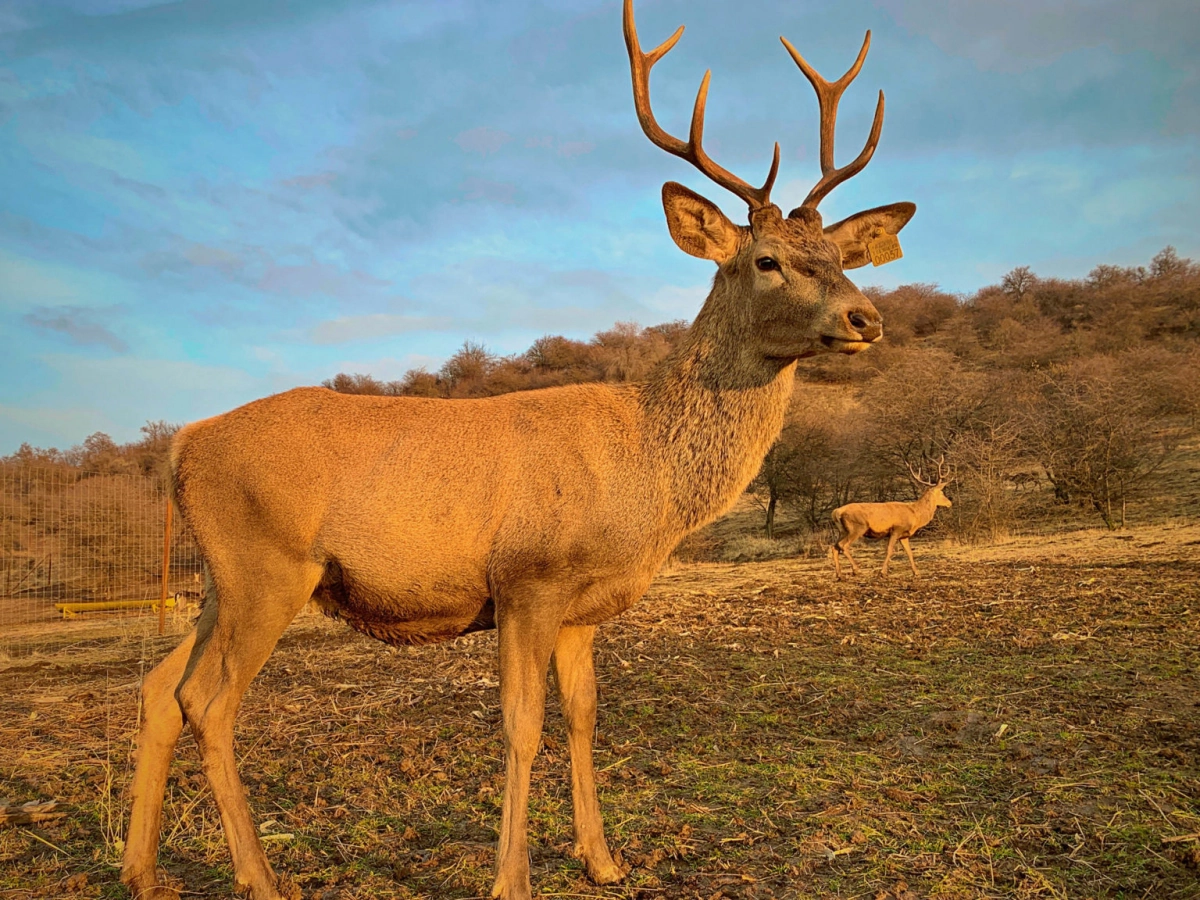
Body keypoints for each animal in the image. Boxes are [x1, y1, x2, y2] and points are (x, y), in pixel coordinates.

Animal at [119, 1, 907, 900]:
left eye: (840, 257)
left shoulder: (582, 607)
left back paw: (140, 870)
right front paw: (512, 879)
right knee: (207, 702)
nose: (865, 318)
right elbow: (521, 726)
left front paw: (604, 859)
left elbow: (586, 718)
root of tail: (183, 446)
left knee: (158, 688)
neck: (646, 471)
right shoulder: (529, 576)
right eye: (766, 260)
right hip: (267, 568)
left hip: (222, 580)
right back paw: (258, 877)